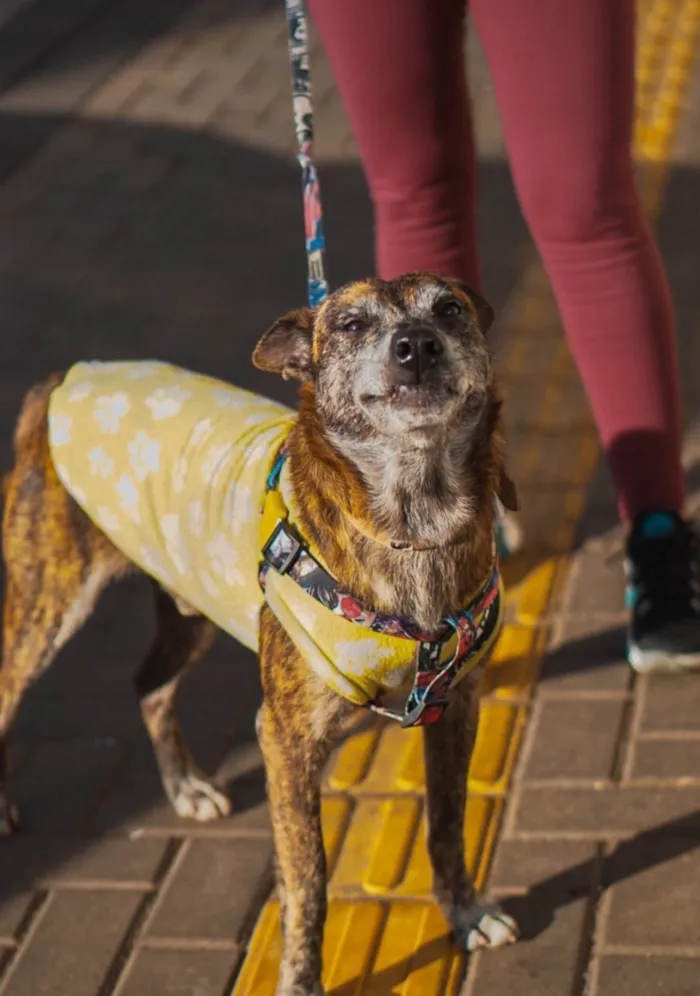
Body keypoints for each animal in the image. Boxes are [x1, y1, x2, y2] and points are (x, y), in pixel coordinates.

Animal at [1, 272, 520, 996]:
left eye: (449, 309)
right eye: (352, 325)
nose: (416, 345)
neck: (413, 521)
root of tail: (59, 380)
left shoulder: (458, 707)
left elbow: (447, 822)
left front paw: (466, 913)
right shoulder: (286, 740)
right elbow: (308, 881)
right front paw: (300, 980)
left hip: (187, 600)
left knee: (150, 683)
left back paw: (185, 787)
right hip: (47, 607)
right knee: (8, 691)